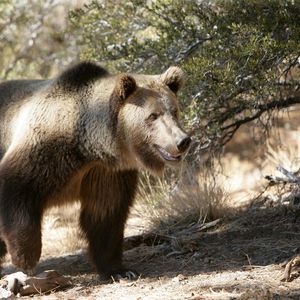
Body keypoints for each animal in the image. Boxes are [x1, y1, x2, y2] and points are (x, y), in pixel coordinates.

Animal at [0, 62, 191, 280]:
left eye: (174, 111)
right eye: (153, 115)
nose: (182, 141)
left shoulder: (105, 172)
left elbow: (105, 214)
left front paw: (119, 270)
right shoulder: (45, 150)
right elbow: (18, 188)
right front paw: (25, 257)